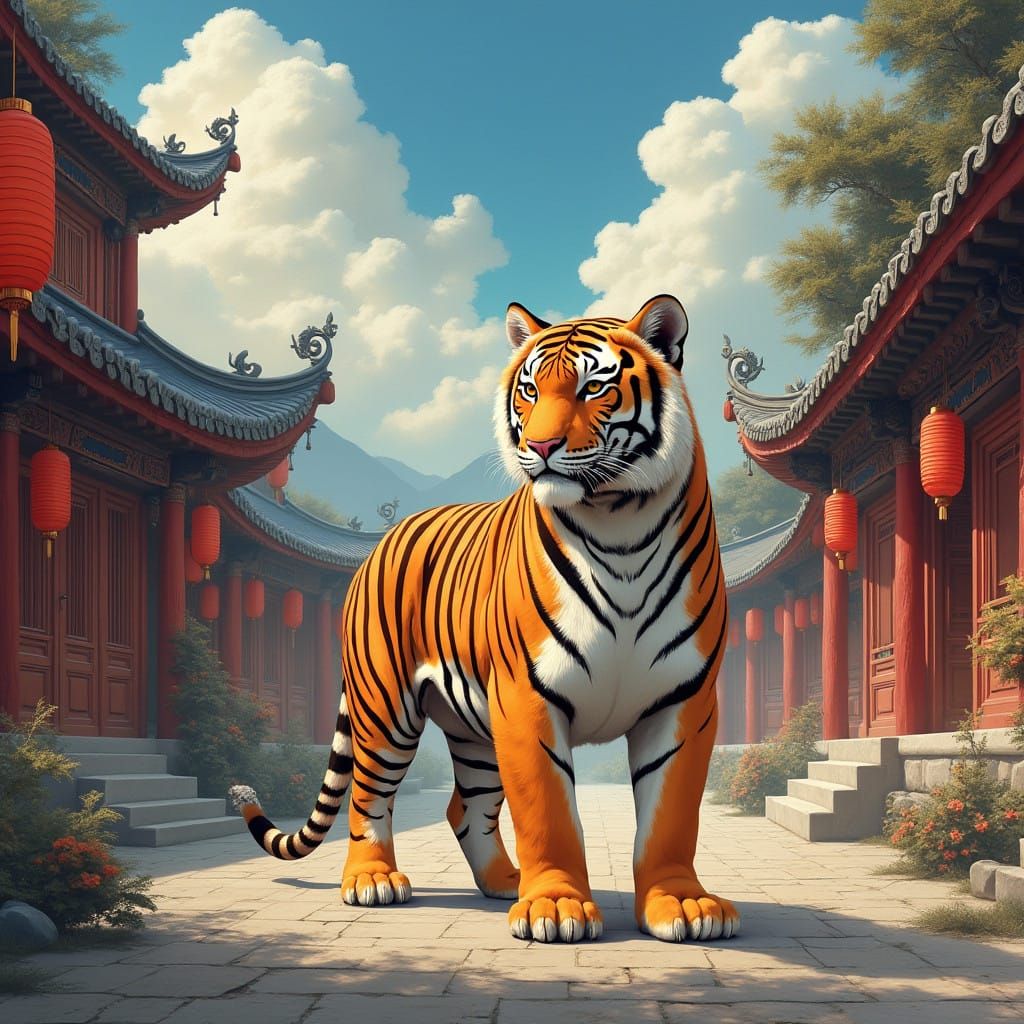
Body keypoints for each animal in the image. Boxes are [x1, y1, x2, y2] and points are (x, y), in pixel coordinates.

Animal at [230, 293, 740, 944]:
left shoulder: (683, 699)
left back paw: (503, 881)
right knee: (369, 795)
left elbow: (672, 813)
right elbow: (548, 808)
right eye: (530, 390)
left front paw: (681, 903)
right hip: (387, 709)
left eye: (594, 387)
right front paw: (556, 906)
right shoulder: (528, 698)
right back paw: (372, 881)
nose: (542, 447)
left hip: (475, 729)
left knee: (464, 805)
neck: (619, 524)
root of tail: (385, 537)